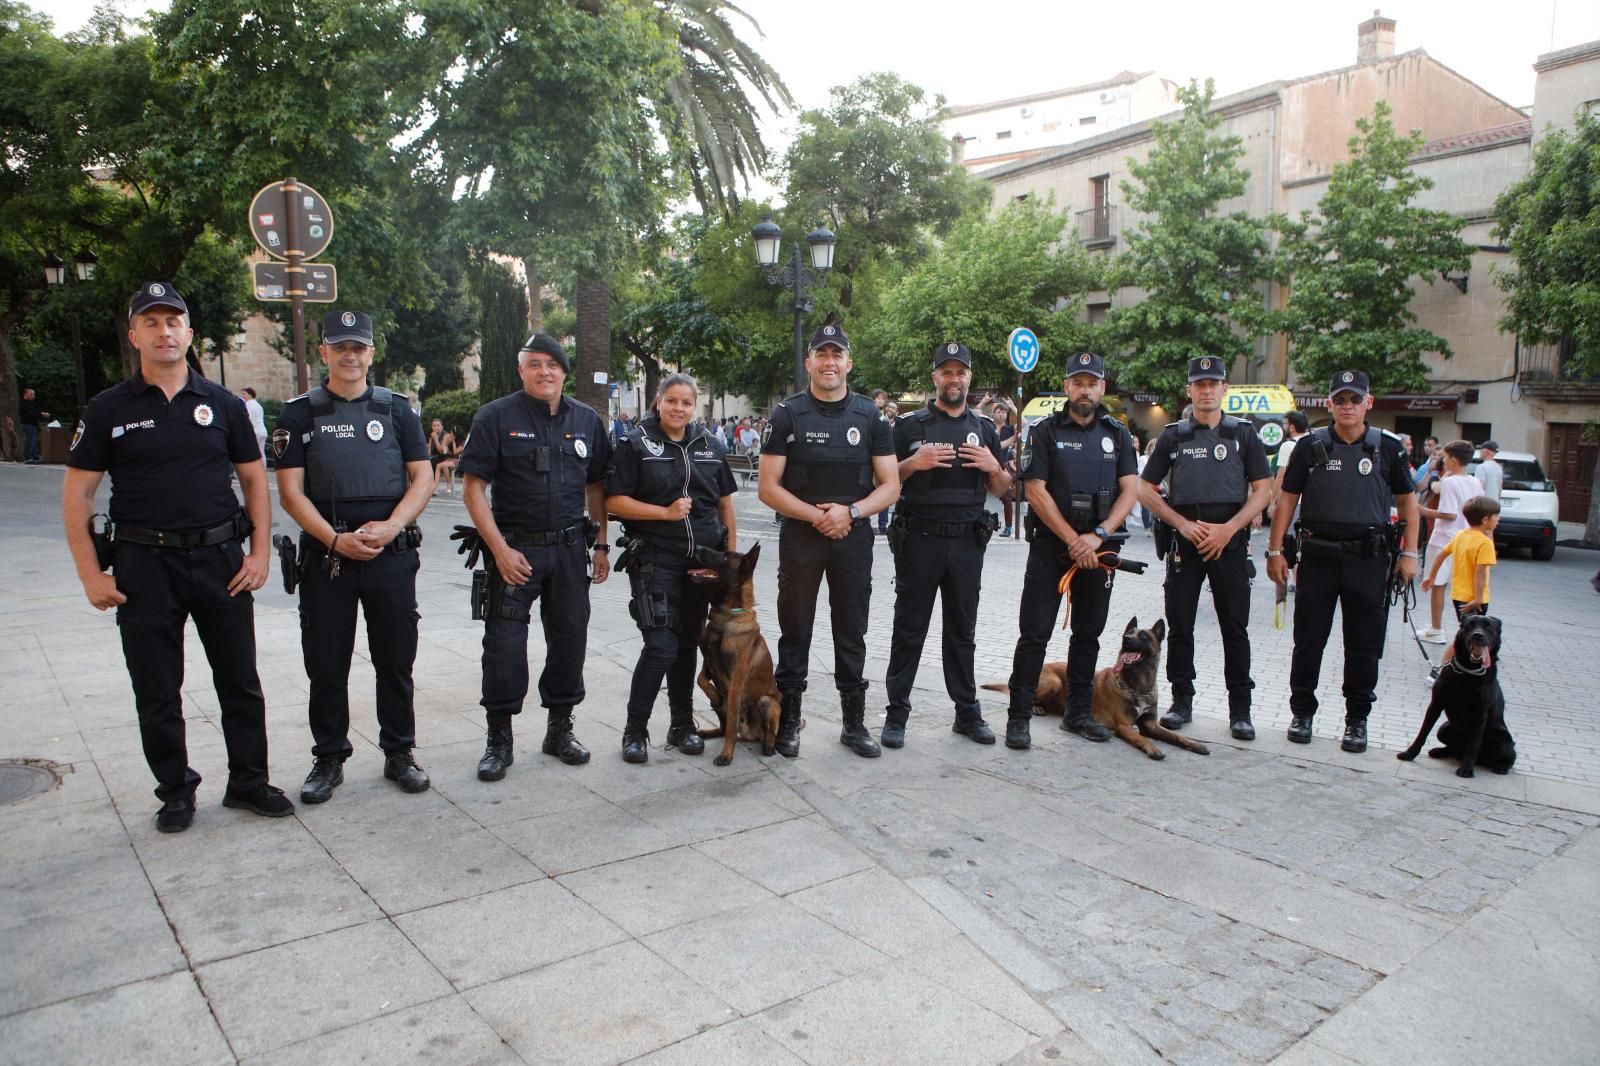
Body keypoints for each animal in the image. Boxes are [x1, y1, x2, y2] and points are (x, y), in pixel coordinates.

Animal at [694, 544, 780, 758]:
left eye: (725, 557)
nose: (696, 546)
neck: (726, 617)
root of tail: (749, 735)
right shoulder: (708, 667)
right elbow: (700, 679)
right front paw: (715, 693)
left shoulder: (735, 685)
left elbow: (732, 725)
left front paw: (726, 755)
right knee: (723, 726)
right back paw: (709, 731)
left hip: (767, 702)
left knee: (767, 733)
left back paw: (768, 746)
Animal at [1395, 611, 1516, 777]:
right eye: (1470, 625)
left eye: (1489, 627)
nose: (1477, 635)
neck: (1468, 672)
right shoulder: (1435, 705)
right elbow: (1423, 733)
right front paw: (1409, 754)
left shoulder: (1480, 715)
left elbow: (1473, 745)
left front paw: (1467, 769)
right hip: (1444, 728)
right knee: (1452, 748)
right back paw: (1439, 751)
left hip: (1502, 739)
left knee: (1509, 757)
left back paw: (1501, 766)